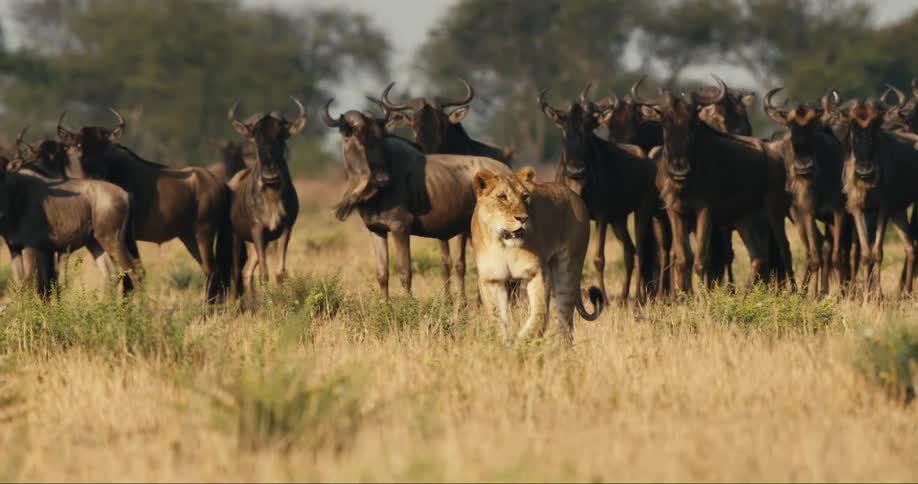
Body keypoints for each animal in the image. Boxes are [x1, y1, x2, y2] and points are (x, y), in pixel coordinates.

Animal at [471, 166, 605, 345]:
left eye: (525, 196)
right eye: (502, 197)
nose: (523, 218)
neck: (506, 247)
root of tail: (573, 194)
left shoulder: (538, 273)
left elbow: (539, 315)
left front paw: (521, 342)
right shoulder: (492, 279)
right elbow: (496, 318)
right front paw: (503, 345)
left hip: (568, 269)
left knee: (565, 322)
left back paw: (558, 348)